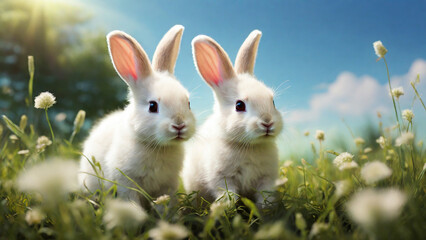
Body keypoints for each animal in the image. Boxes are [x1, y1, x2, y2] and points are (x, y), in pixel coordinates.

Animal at [79, 25, 196, 207]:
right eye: (152, 106)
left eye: (188, 103)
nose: (179, 125)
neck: (156, 146)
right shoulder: (126, 182)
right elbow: (131, 202)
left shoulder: (167, 185)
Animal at [182, 30, 282, 206]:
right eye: (239, 105)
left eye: (273, 101)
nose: (267, 122)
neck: (248, 146)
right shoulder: (223, 177)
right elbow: (228, 193)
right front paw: (226, 207)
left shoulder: (266, 178)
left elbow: (265, 195)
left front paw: (266, 207)